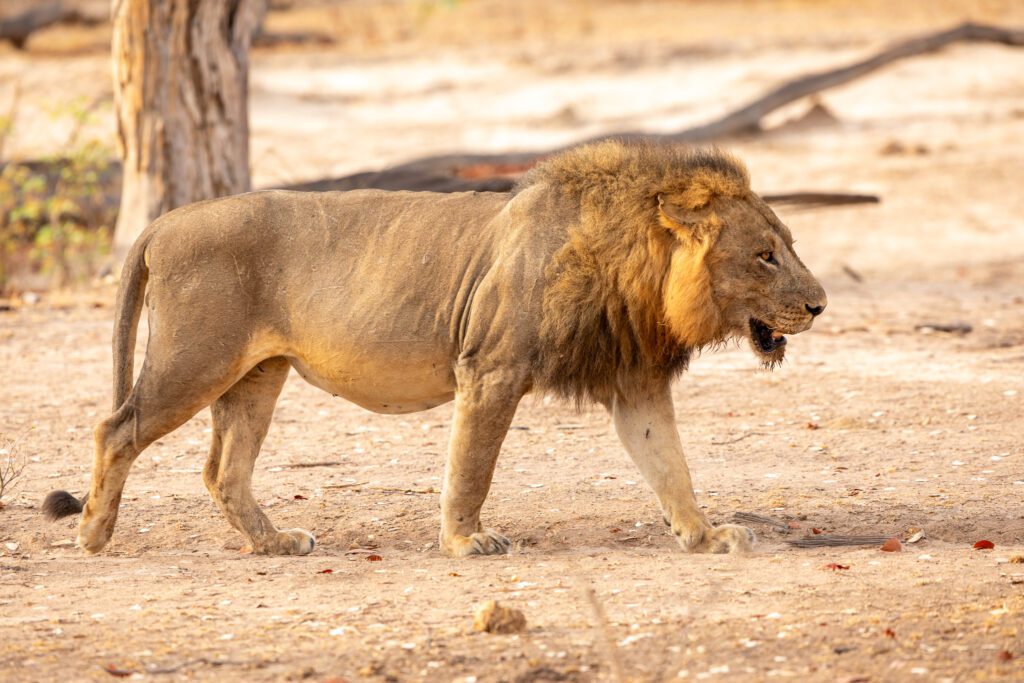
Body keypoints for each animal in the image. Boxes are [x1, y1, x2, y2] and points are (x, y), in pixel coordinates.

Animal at [46, 139, 823, 557]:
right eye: (764, 255)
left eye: (787, 245)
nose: (819, 304)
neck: (638, 274)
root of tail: (165, 221)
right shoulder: (492, 368)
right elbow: (471, 467)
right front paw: (466, 542)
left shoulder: (634, 382)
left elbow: (672, 469)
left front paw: (706, 536)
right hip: (195, 359)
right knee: (115, 428)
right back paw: (92, 534)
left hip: (257, 374)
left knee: (222, 472)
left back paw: (276, 543)